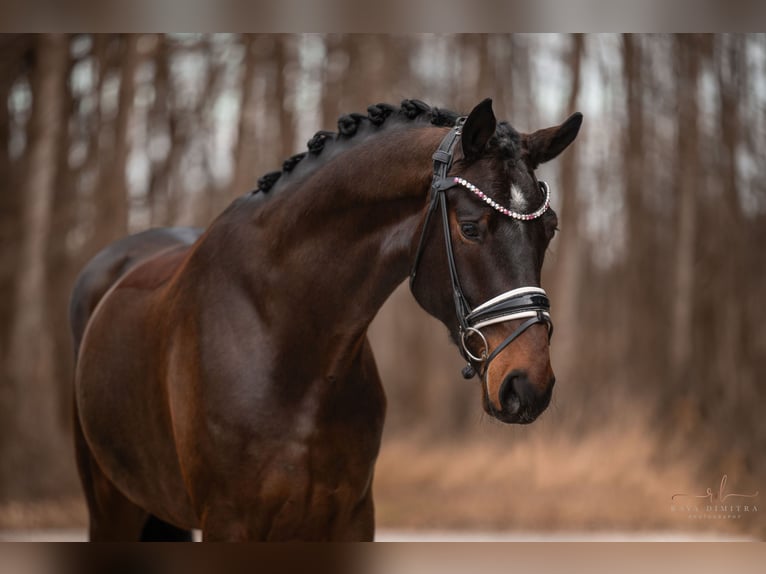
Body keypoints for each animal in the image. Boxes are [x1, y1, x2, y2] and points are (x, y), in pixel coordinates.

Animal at [72, 97, 584, 544]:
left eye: (550, 228)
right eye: (471, 227)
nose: (528, 385)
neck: (287, 341)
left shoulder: (349, 518)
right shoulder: (228, 522)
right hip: (111, 504)